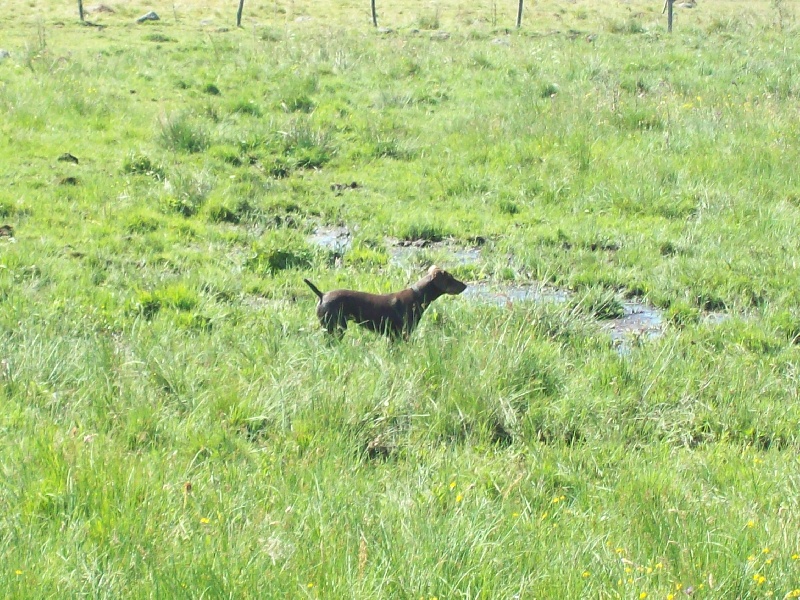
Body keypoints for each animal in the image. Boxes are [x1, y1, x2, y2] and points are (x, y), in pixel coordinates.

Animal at [306, 266, 468, 338]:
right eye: (450, 278)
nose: (465, 285)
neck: (417, 296)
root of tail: (322, 295)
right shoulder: (402, 335)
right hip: (335, 327)